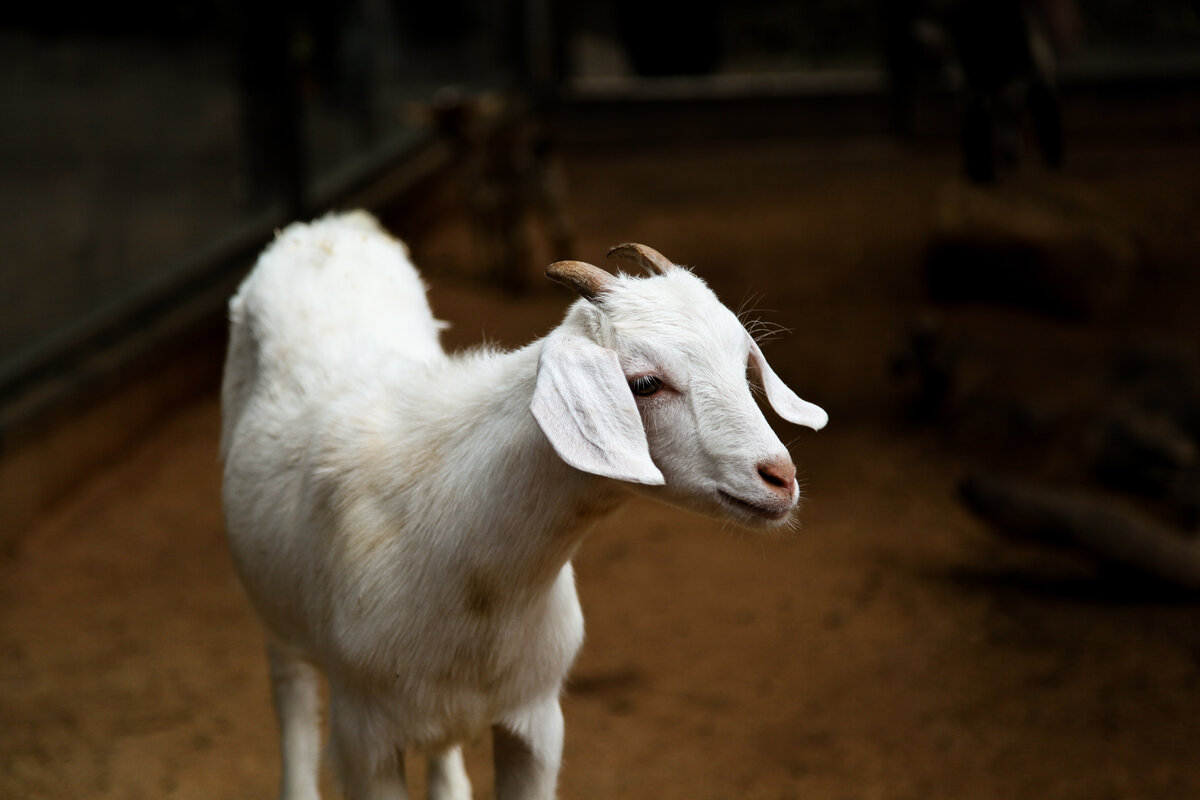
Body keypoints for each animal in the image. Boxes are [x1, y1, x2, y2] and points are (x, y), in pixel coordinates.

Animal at [220, 209, 825, 796]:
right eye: (645, 383)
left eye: (742, 364)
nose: (780, 478)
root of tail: (327, 227)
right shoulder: (364, 739)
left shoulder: (535, 721)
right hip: (276, 618)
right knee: (292, 701)